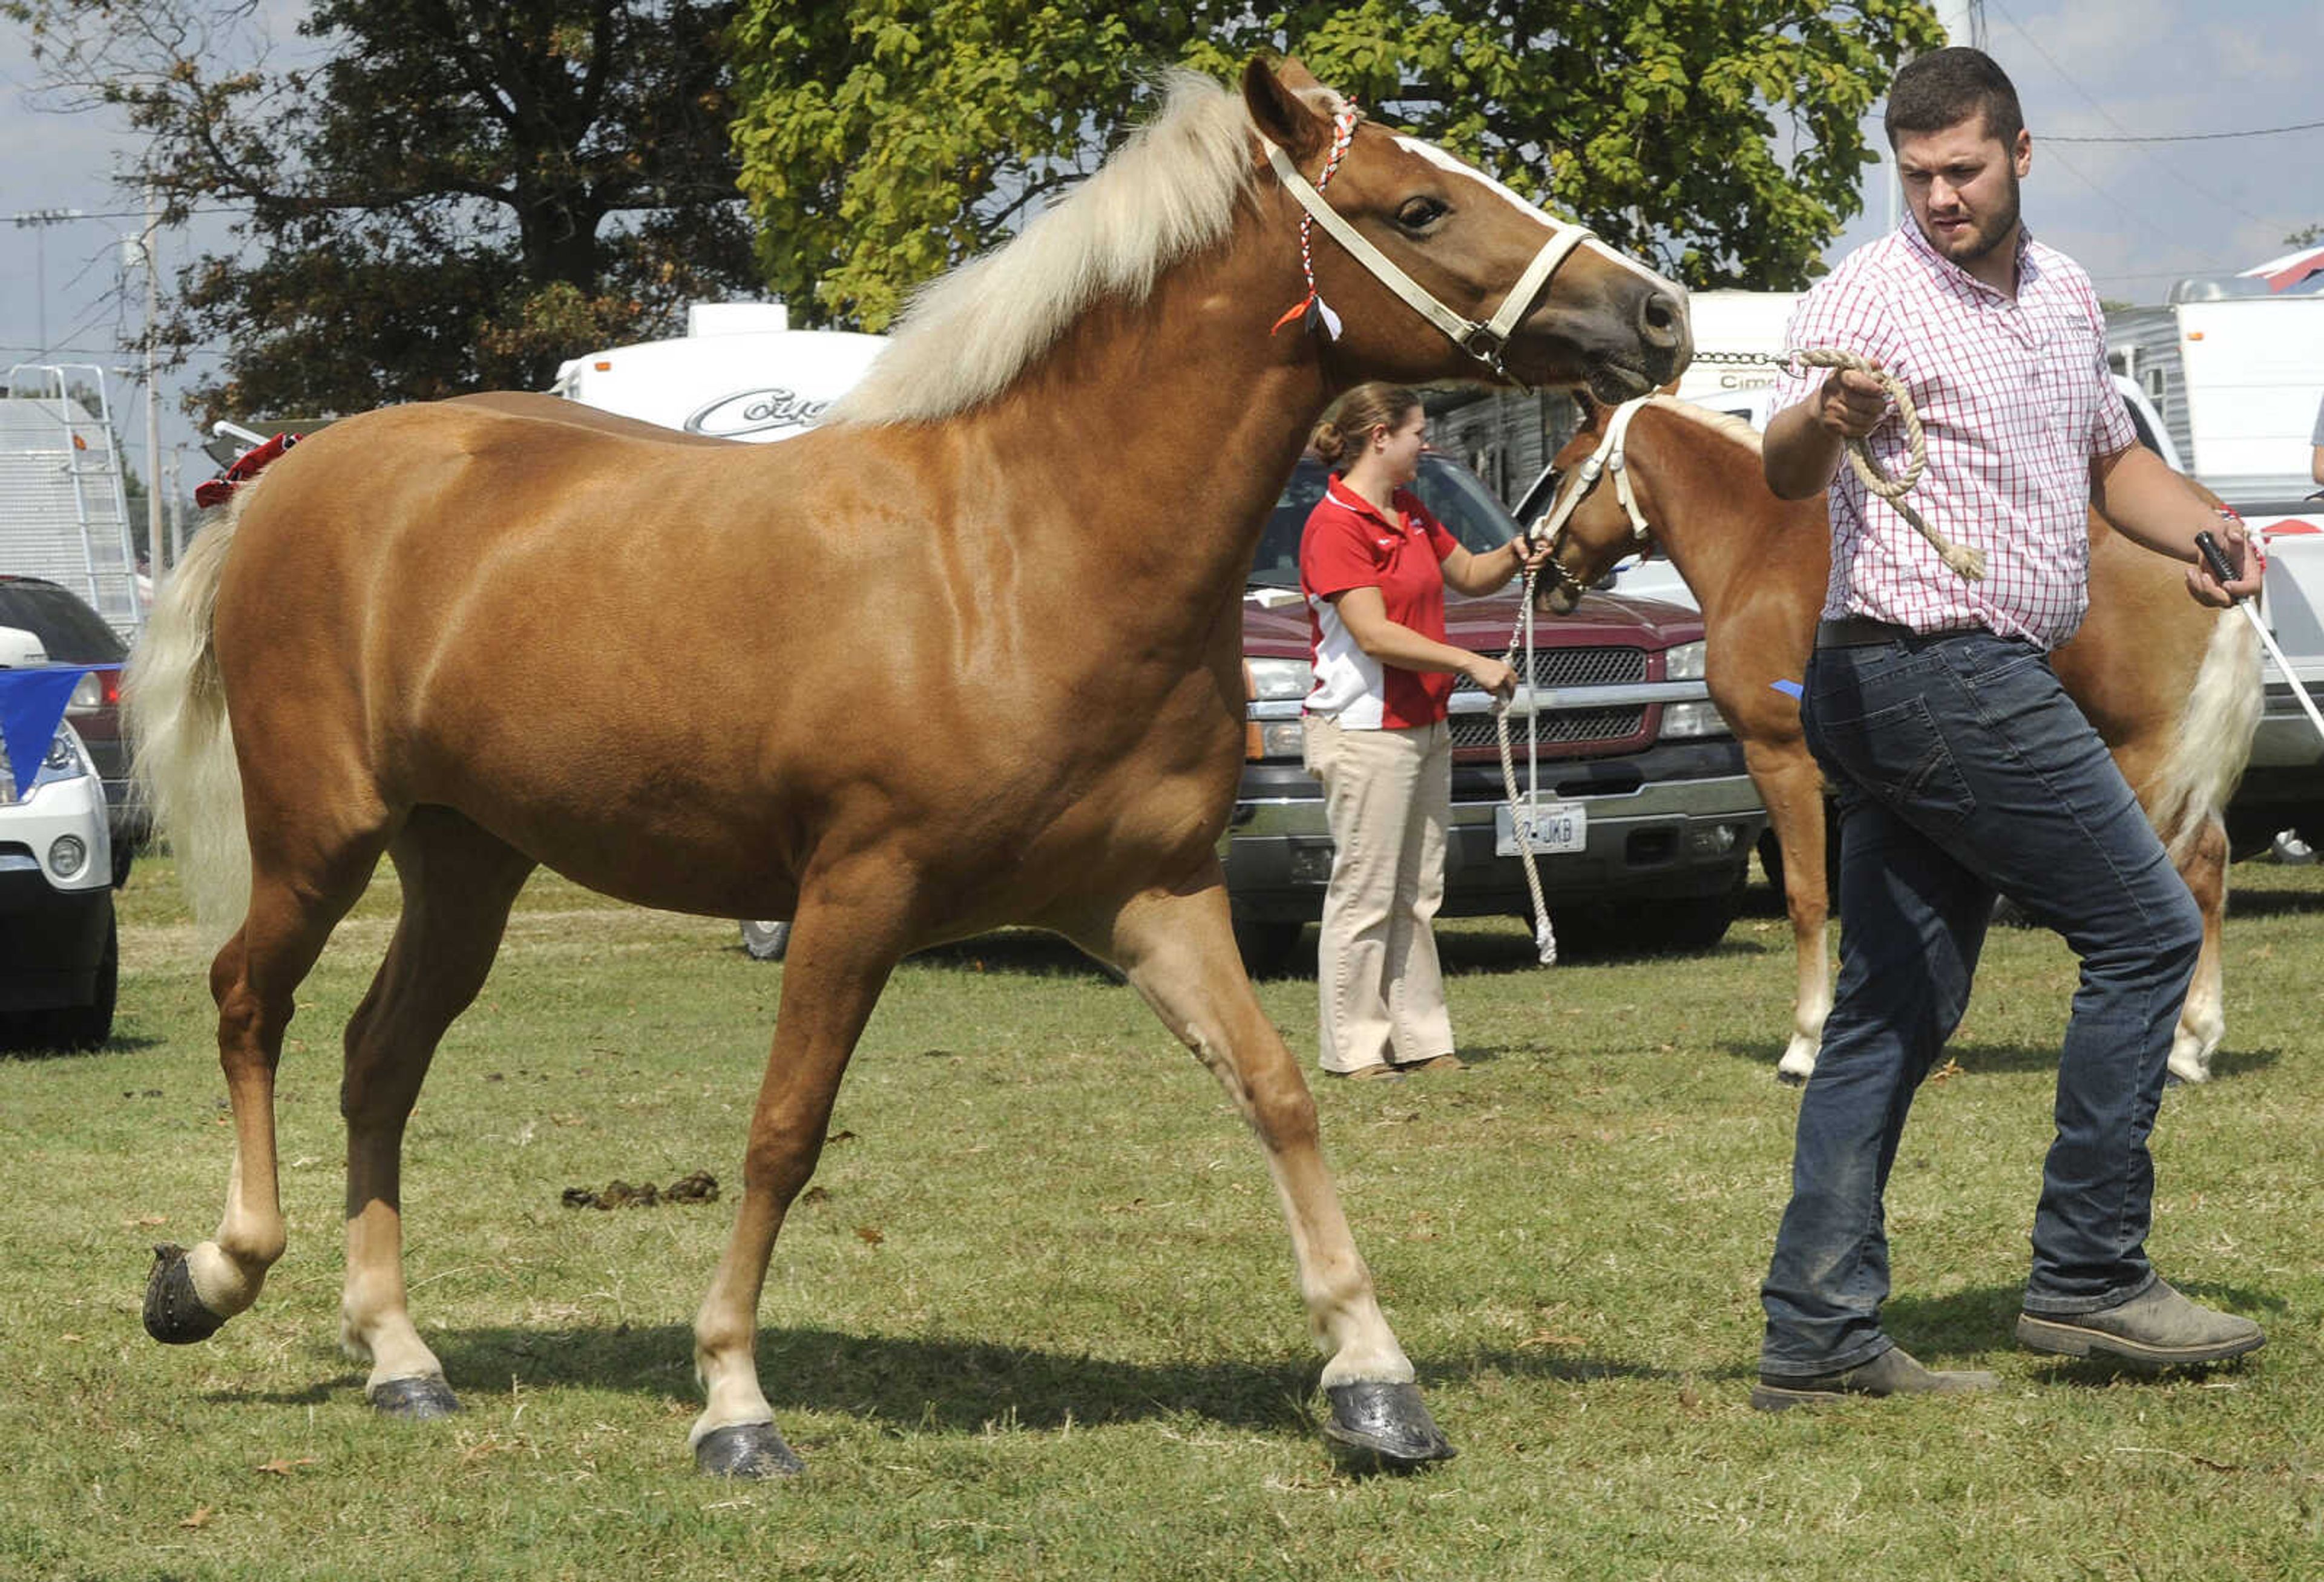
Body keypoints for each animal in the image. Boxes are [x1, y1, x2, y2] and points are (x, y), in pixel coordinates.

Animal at [1534, 395, 2259, 1087]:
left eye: (1562, 472)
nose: (1538, 573)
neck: (1759, 544)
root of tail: (2213, 531)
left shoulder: (1779, 760)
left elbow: (1807, 898)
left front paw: (1806, 1043)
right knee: (2210, 862)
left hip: (2148, 754)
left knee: (2190, 871)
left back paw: (2186, 1046)